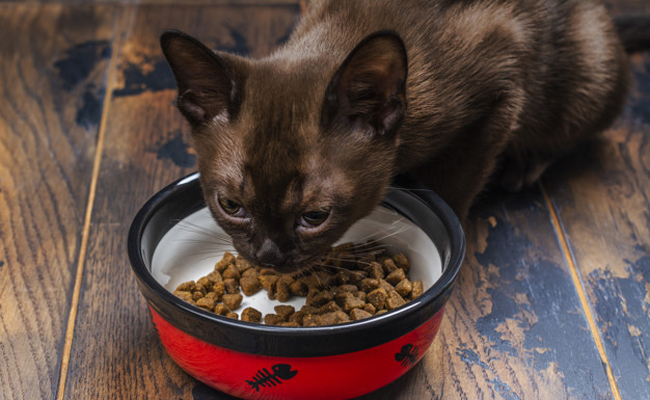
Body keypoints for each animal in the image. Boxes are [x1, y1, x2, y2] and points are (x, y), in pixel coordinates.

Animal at [161, 0, 632, 272]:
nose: (269, 258)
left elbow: (451, 195)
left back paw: (525, 163)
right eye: (230, 206)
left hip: (581, 84)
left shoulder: (500, 98)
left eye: (314, 216)